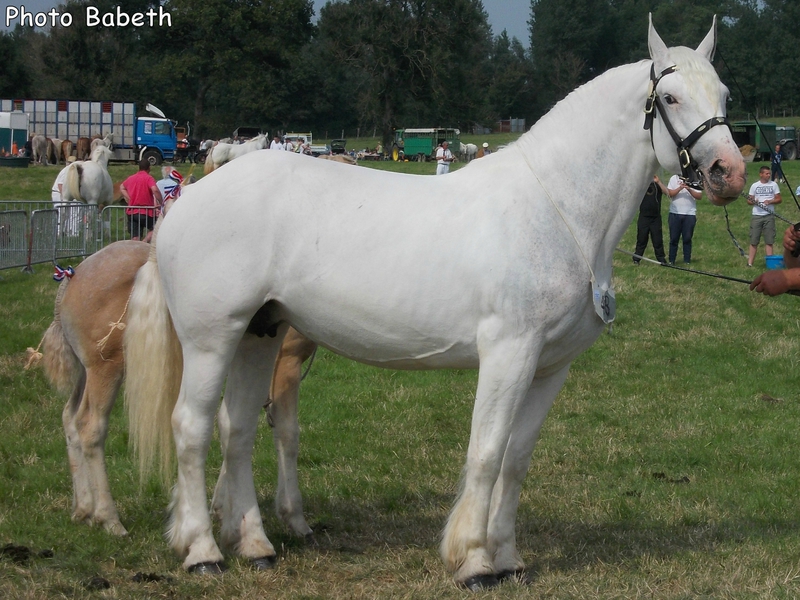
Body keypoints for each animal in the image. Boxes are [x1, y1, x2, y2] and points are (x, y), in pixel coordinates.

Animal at [38, 238, 318, 540]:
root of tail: (72, 277)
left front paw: (223, 506)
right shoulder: (286, 364)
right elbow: (287, 434)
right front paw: (294, 518)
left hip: (85, 372)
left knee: (70, 418)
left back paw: (83, 508)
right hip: (106, 369)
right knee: (90, 426)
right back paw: (108, 517)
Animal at [123, 18, 744, 592]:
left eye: (724, 96)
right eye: (670, 98)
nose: (729, 173)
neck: (556, 211)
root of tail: (184, 202)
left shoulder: (550, 367)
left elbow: (517, 460)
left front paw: (510, 558)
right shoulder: (508, 354)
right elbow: (486, 454)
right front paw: (474, 561)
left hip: (260, 333)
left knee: (238, 430)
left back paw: (254, 544)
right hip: (211, 339)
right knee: (191, 428)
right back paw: (203, 551)